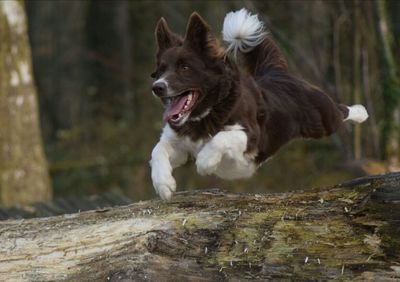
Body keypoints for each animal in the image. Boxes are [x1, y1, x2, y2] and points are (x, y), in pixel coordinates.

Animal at [150, 8, 368, 198]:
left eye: (185, 67)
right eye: (161, 69)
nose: (157, 87)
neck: (206, 112)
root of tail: (276, 71)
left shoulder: (252, 136)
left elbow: (221, 137)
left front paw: (205, 162)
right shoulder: (180, 145)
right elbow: (157, 150)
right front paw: (164, 185)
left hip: (321, 119)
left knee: (340, 112)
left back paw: (361, 112)